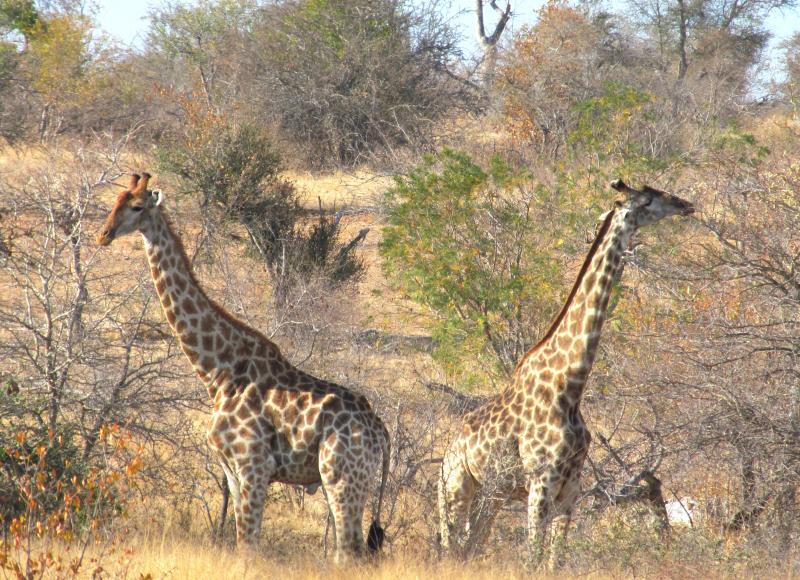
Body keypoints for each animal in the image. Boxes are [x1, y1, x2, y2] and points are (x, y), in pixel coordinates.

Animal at [97, 172, 390, 560]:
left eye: (137, 206)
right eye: (115, 201)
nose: (103, 235)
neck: (217, 371)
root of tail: (381, 432)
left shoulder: (253, 465)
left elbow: (249, 546)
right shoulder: (233, 471)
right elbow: (243, 542)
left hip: (342, 477)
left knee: (348, 552)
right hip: (346, 481)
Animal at [438, 179, 692, 568]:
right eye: (649, 198)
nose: (686, 204)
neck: (570, 384)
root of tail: (449, 450)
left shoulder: (570, 488)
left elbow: (555, 560)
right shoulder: (540, 482)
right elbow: (532, 560)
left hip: (491, 497)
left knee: (470, 547)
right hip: (455, 490)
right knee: (451, 547)